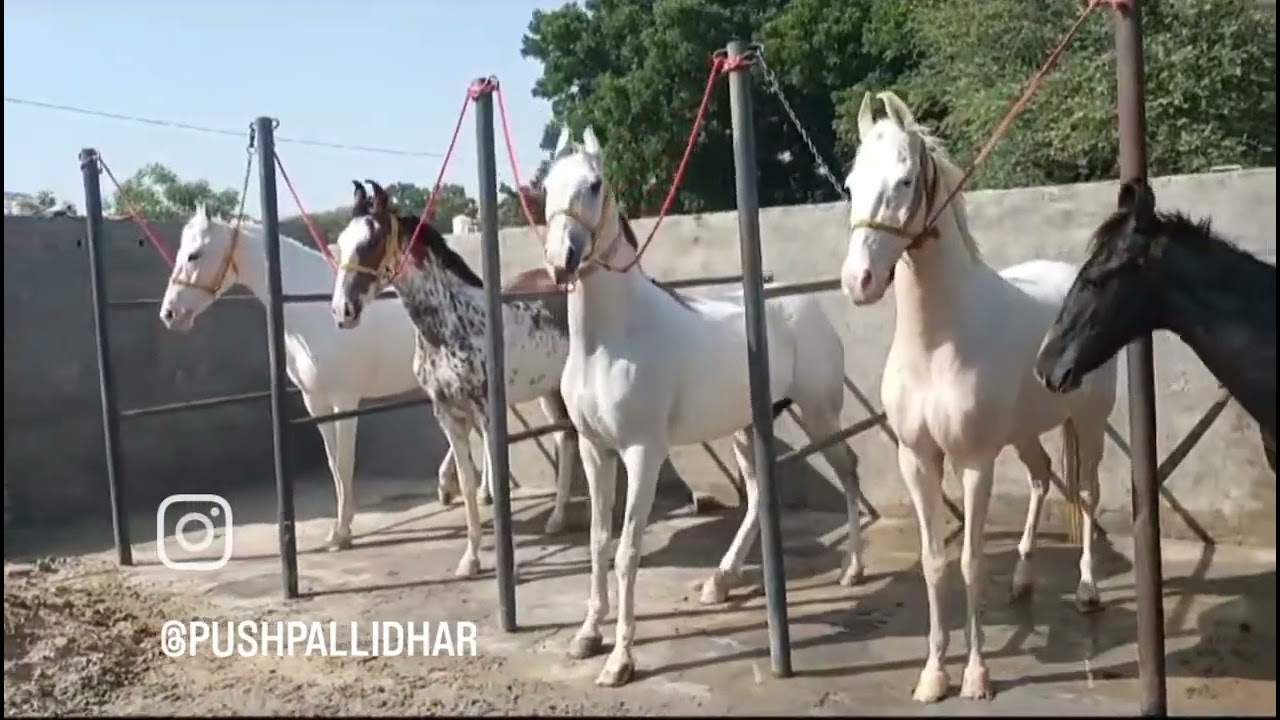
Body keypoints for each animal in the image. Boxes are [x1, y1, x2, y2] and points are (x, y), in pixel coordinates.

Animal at [328, 180, 581, 577]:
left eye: (371, 241)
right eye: (341, 241)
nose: (342, 311)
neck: (452, 325)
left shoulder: (488, 414)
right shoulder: (447, 414)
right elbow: (467, 479)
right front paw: (471, 559)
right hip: (549, 390)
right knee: (565, 438)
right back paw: (556, 519)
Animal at [541, 127, 865, 687]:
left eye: (595, 184)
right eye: (544, 185)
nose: (562, 259)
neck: (611, 339)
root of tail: (806, 305)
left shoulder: (642, 453)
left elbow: (626, 552)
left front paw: (620, 660)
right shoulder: (594, 450)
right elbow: (598, 543)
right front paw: (586, 636)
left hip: (819, 415)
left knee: (848, 470)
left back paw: (851, 570)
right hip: (746, 428)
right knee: (759, 496)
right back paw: (722, 580)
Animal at [838, 91, 1119, 703]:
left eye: (903, 180)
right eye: (849, 184)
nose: (858, 281)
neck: (938, 344)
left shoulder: (973, 463)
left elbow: (968, 562)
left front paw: (975, 674)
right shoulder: (918, 459)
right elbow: (932, 562)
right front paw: (931, 674)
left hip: (1088, 425)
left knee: (1088, 494)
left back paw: (1088, 590)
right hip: (1024, 433)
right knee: (1041, 479)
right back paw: (1022, 579)